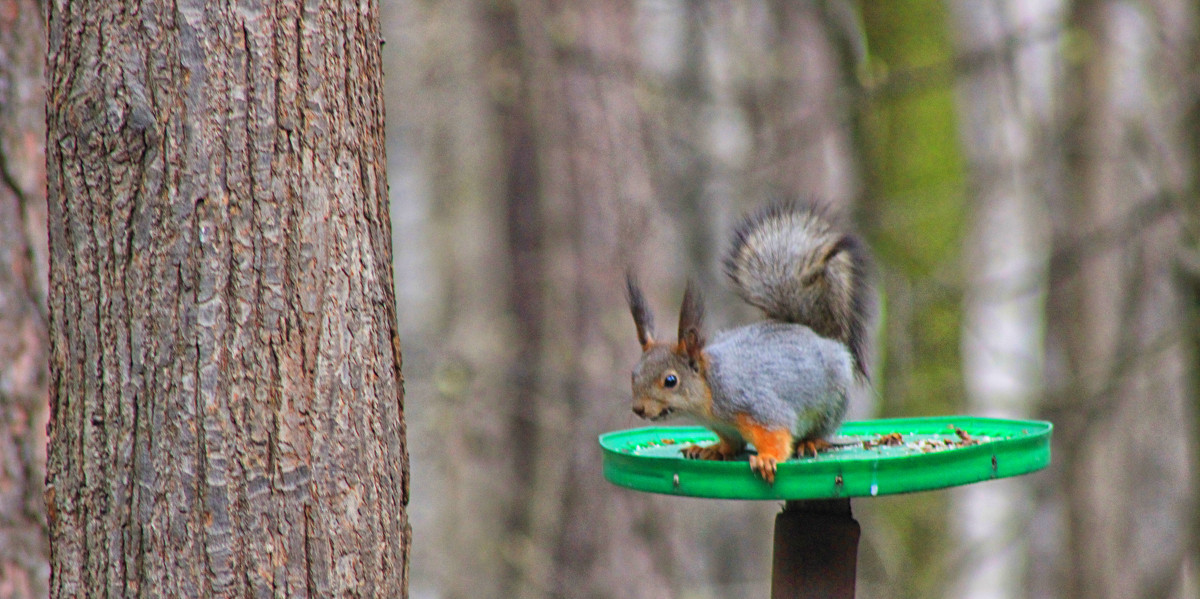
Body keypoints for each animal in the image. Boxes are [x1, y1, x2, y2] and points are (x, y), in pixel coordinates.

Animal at [628, 201, 873, 482]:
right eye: (633, 375)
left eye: (671, 381)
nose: (638, 409)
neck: (710, 393)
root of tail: (813, 334)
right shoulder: (725, 428)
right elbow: (731, 444)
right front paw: (713, 449)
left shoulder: (757, 406)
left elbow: (776, 435)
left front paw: (766, 459)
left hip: (832, 403)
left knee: (822, 430)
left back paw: (811, 442)